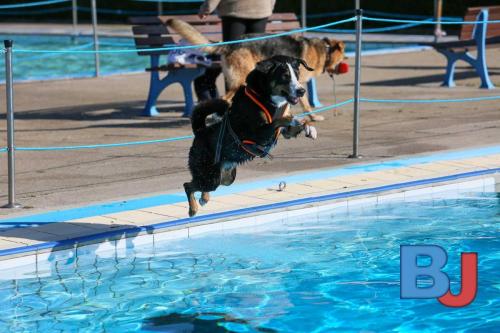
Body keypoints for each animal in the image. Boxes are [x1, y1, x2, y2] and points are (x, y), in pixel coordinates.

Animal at [184, 55, 316, 217]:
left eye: (297, 75)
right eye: (285, 76)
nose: (301, 91)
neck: (267, 99)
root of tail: (200, 131)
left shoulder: (285, 133)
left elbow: (295, 124)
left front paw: (309, 128)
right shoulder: (256, 134)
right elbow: (280, 120)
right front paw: (291, 118)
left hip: (225, 177)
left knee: (202, 185)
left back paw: (204, 198)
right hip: (210, 175)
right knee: (189, 185)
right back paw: (193, 208)